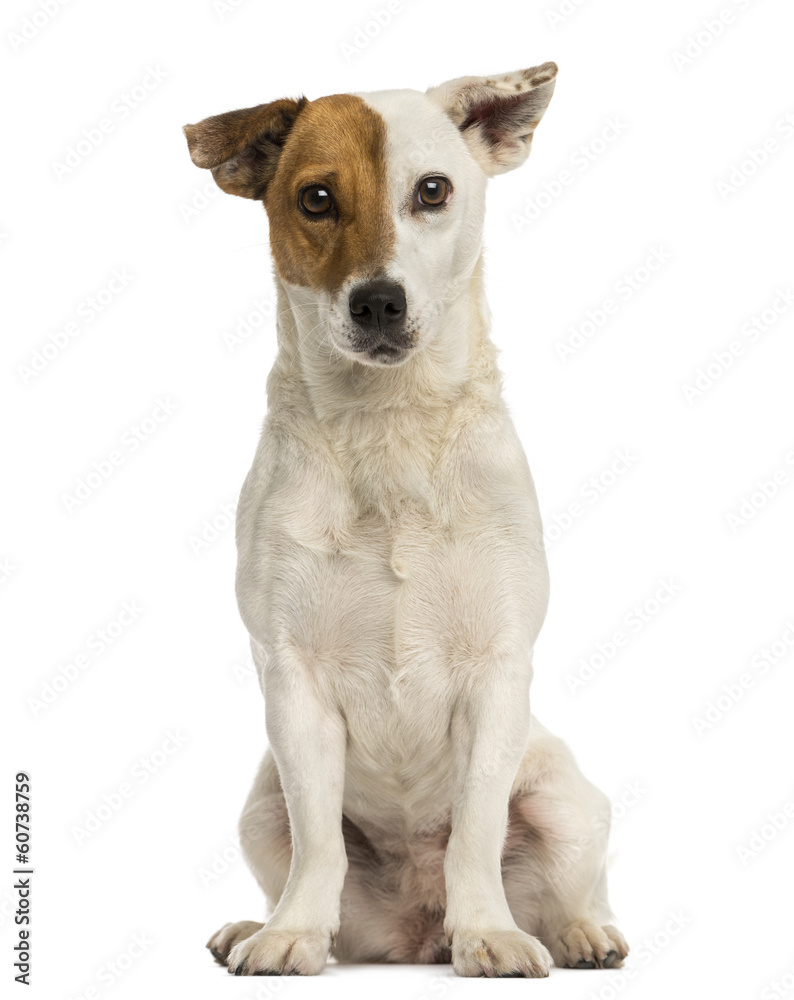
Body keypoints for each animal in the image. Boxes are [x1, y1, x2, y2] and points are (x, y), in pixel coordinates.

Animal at [184, 60, 624, 976]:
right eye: (316, 198)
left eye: (432, 190)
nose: (379, 303)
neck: (388, 430)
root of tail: (417, 929)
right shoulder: (293, 681)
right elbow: (320, 838)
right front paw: (290, 936)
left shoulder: (498, 675)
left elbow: (477, 830)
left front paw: (490, 932)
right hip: (259, 807)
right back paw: (258, 923)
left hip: (567, 799)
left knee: (570, 884)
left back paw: (575, 933)